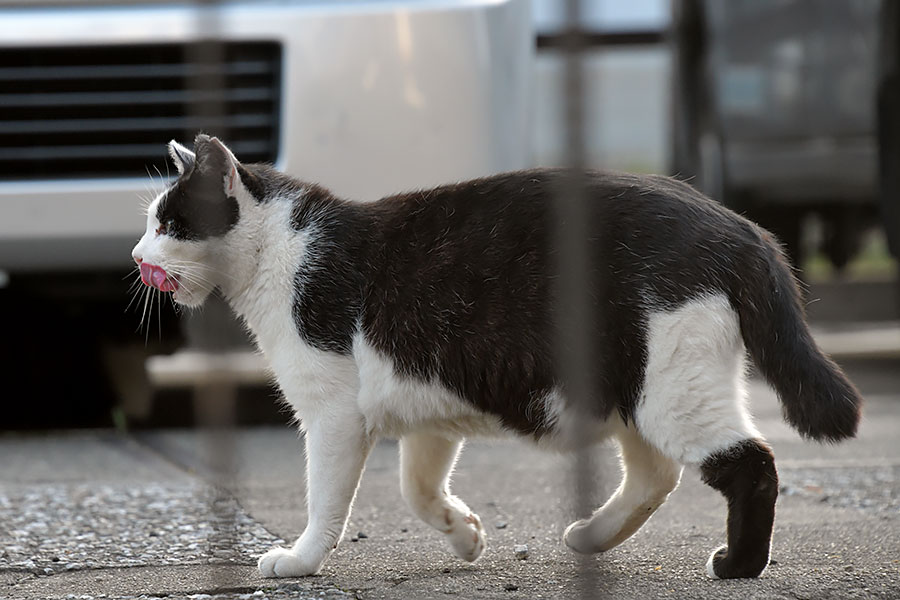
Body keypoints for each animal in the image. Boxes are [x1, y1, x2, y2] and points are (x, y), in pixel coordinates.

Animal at [130, 136, 860, 580]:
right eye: (151, 223)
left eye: (170, 224)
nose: (137, 258)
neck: (284, 248)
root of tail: (742, 229)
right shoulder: (426, 405)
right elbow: (418, 488)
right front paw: (464, 535)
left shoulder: (334, 417)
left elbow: (326, 499)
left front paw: (302, 557)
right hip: (638, 388)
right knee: (657, 475)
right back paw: (592, 536)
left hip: (672, 388)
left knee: (750, 465)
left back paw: (739, 564)